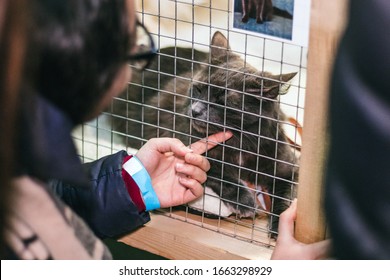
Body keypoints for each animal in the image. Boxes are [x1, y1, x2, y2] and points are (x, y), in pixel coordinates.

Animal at [110, 31, 298, 235]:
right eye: (198, 89)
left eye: (222, 102)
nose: (195, 110)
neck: (238, 140)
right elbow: (219, 172)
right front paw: (244, 201)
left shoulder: (288, 168)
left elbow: (285, 201)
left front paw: (280, 229)